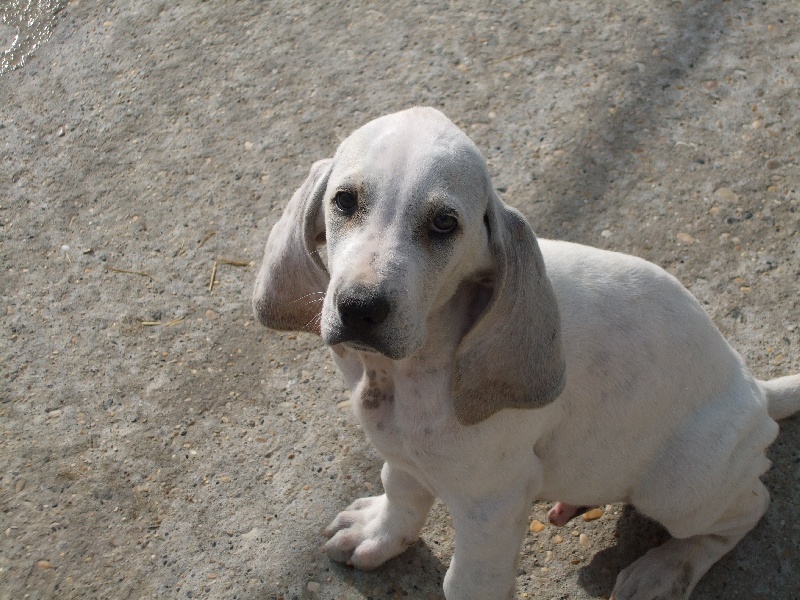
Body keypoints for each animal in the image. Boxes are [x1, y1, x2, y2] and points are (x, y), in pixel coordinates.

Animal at [253, 105, 796, 596]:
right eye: (344, 201)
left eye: (444, 224)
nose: (360, 308)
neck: (402, 372)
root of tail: (754, 388)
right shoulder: (402, 451)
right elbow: (401, 490)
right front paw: (379, 535)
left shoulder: (493, 504)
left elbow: (467, 582)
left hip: (680, 486)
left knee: (750, 506)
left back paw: (665, 569)